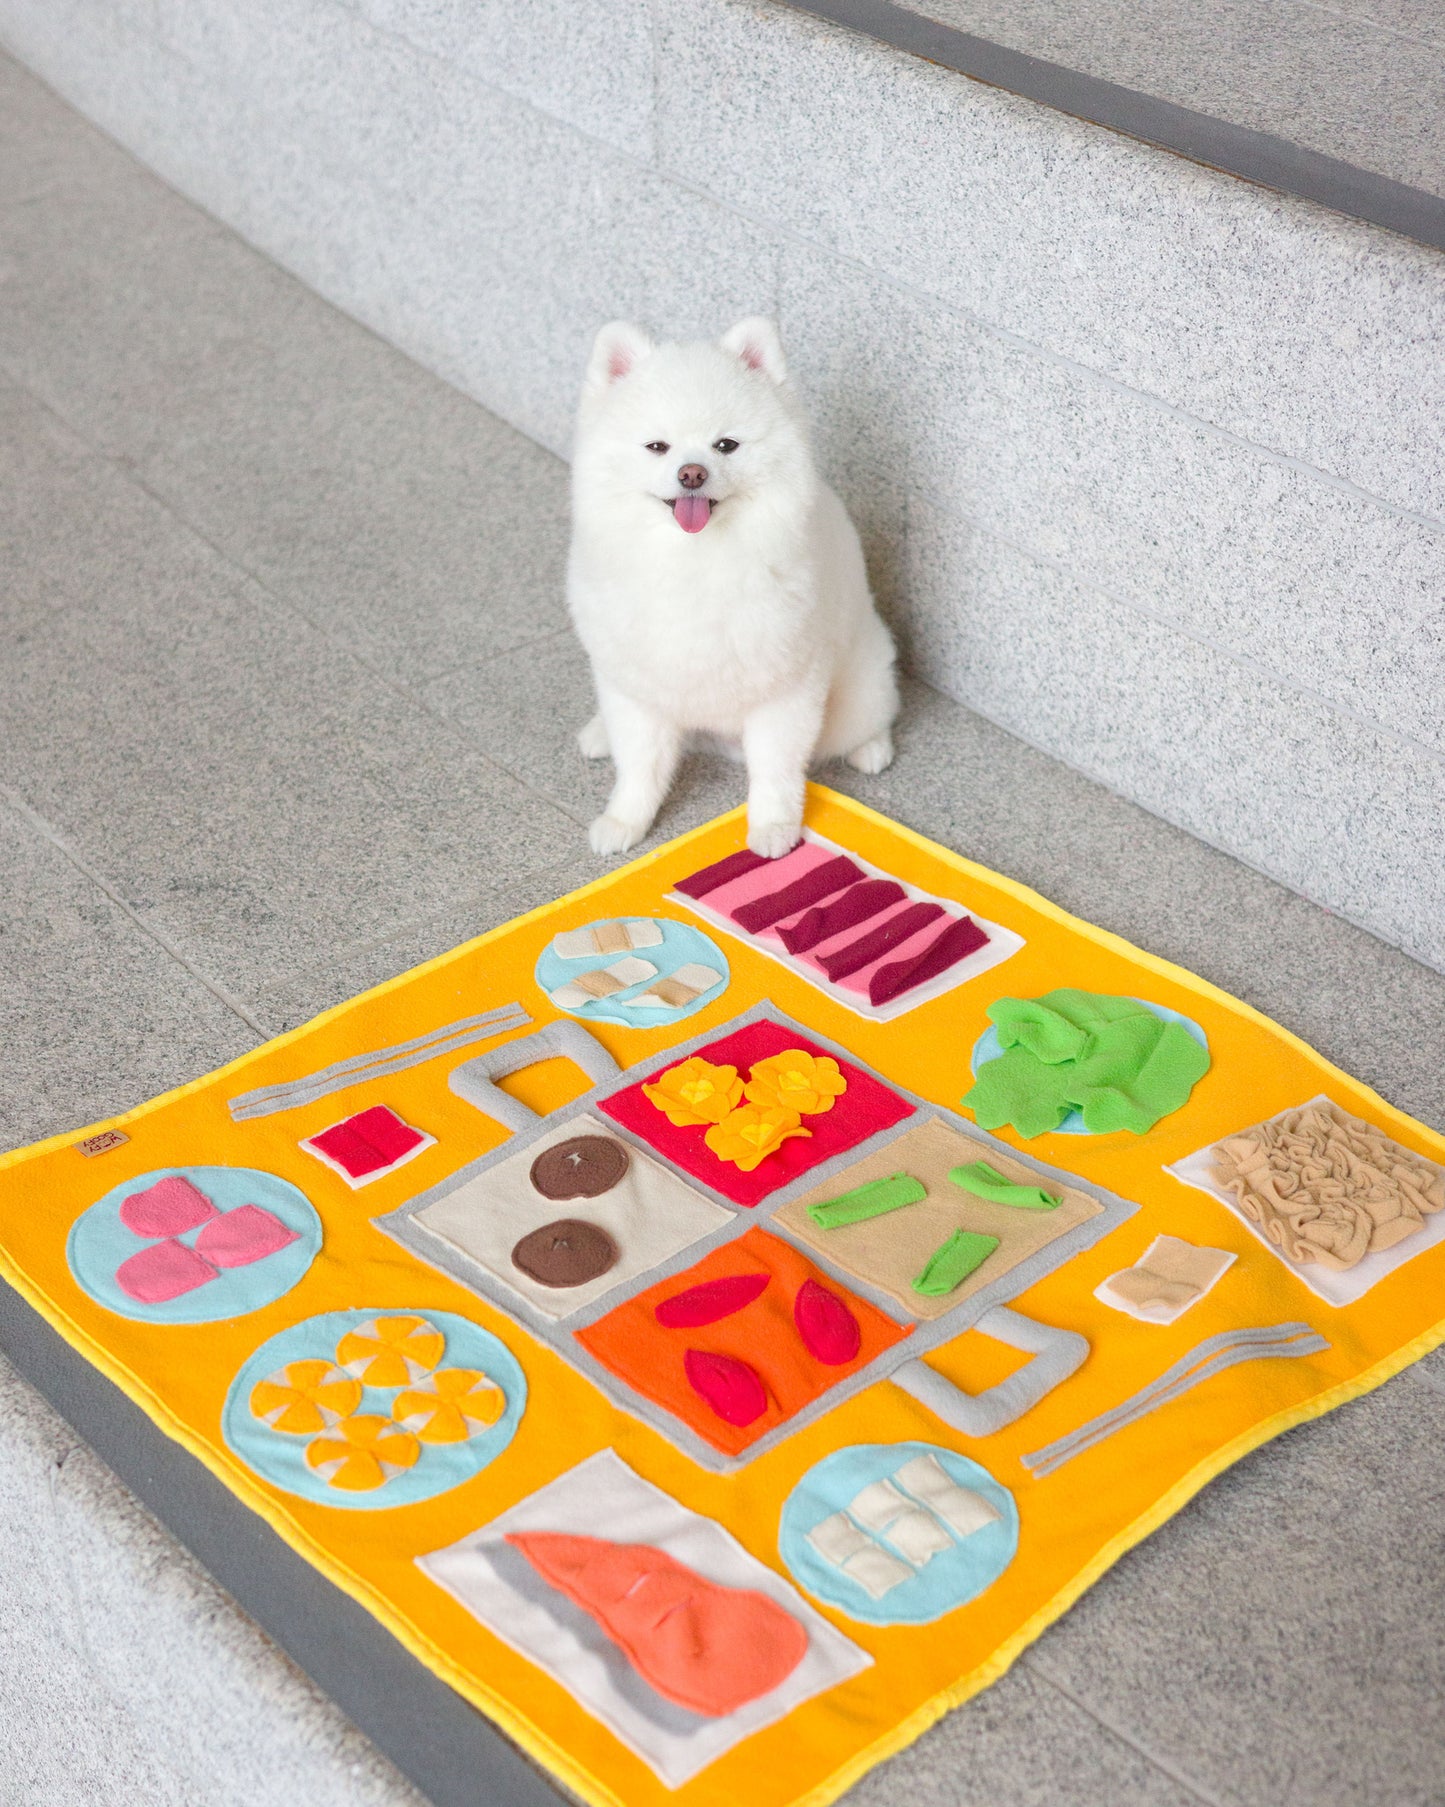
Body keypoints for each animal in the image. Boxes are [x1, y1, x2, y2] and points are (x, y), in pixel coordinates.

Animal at [570, 314, 895, 856]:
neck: (695, 559)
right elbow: (639, 765)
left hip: (860, 685)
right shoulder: (638, 685)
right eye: (657, 446)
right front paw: (624, 821)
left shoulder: (786, 689)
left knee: (870, 715)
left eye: (726, 445)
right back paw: (598, 734)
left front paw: (773, 827)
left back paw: (872, 748)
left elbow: (776, 770)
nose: (692, 473)